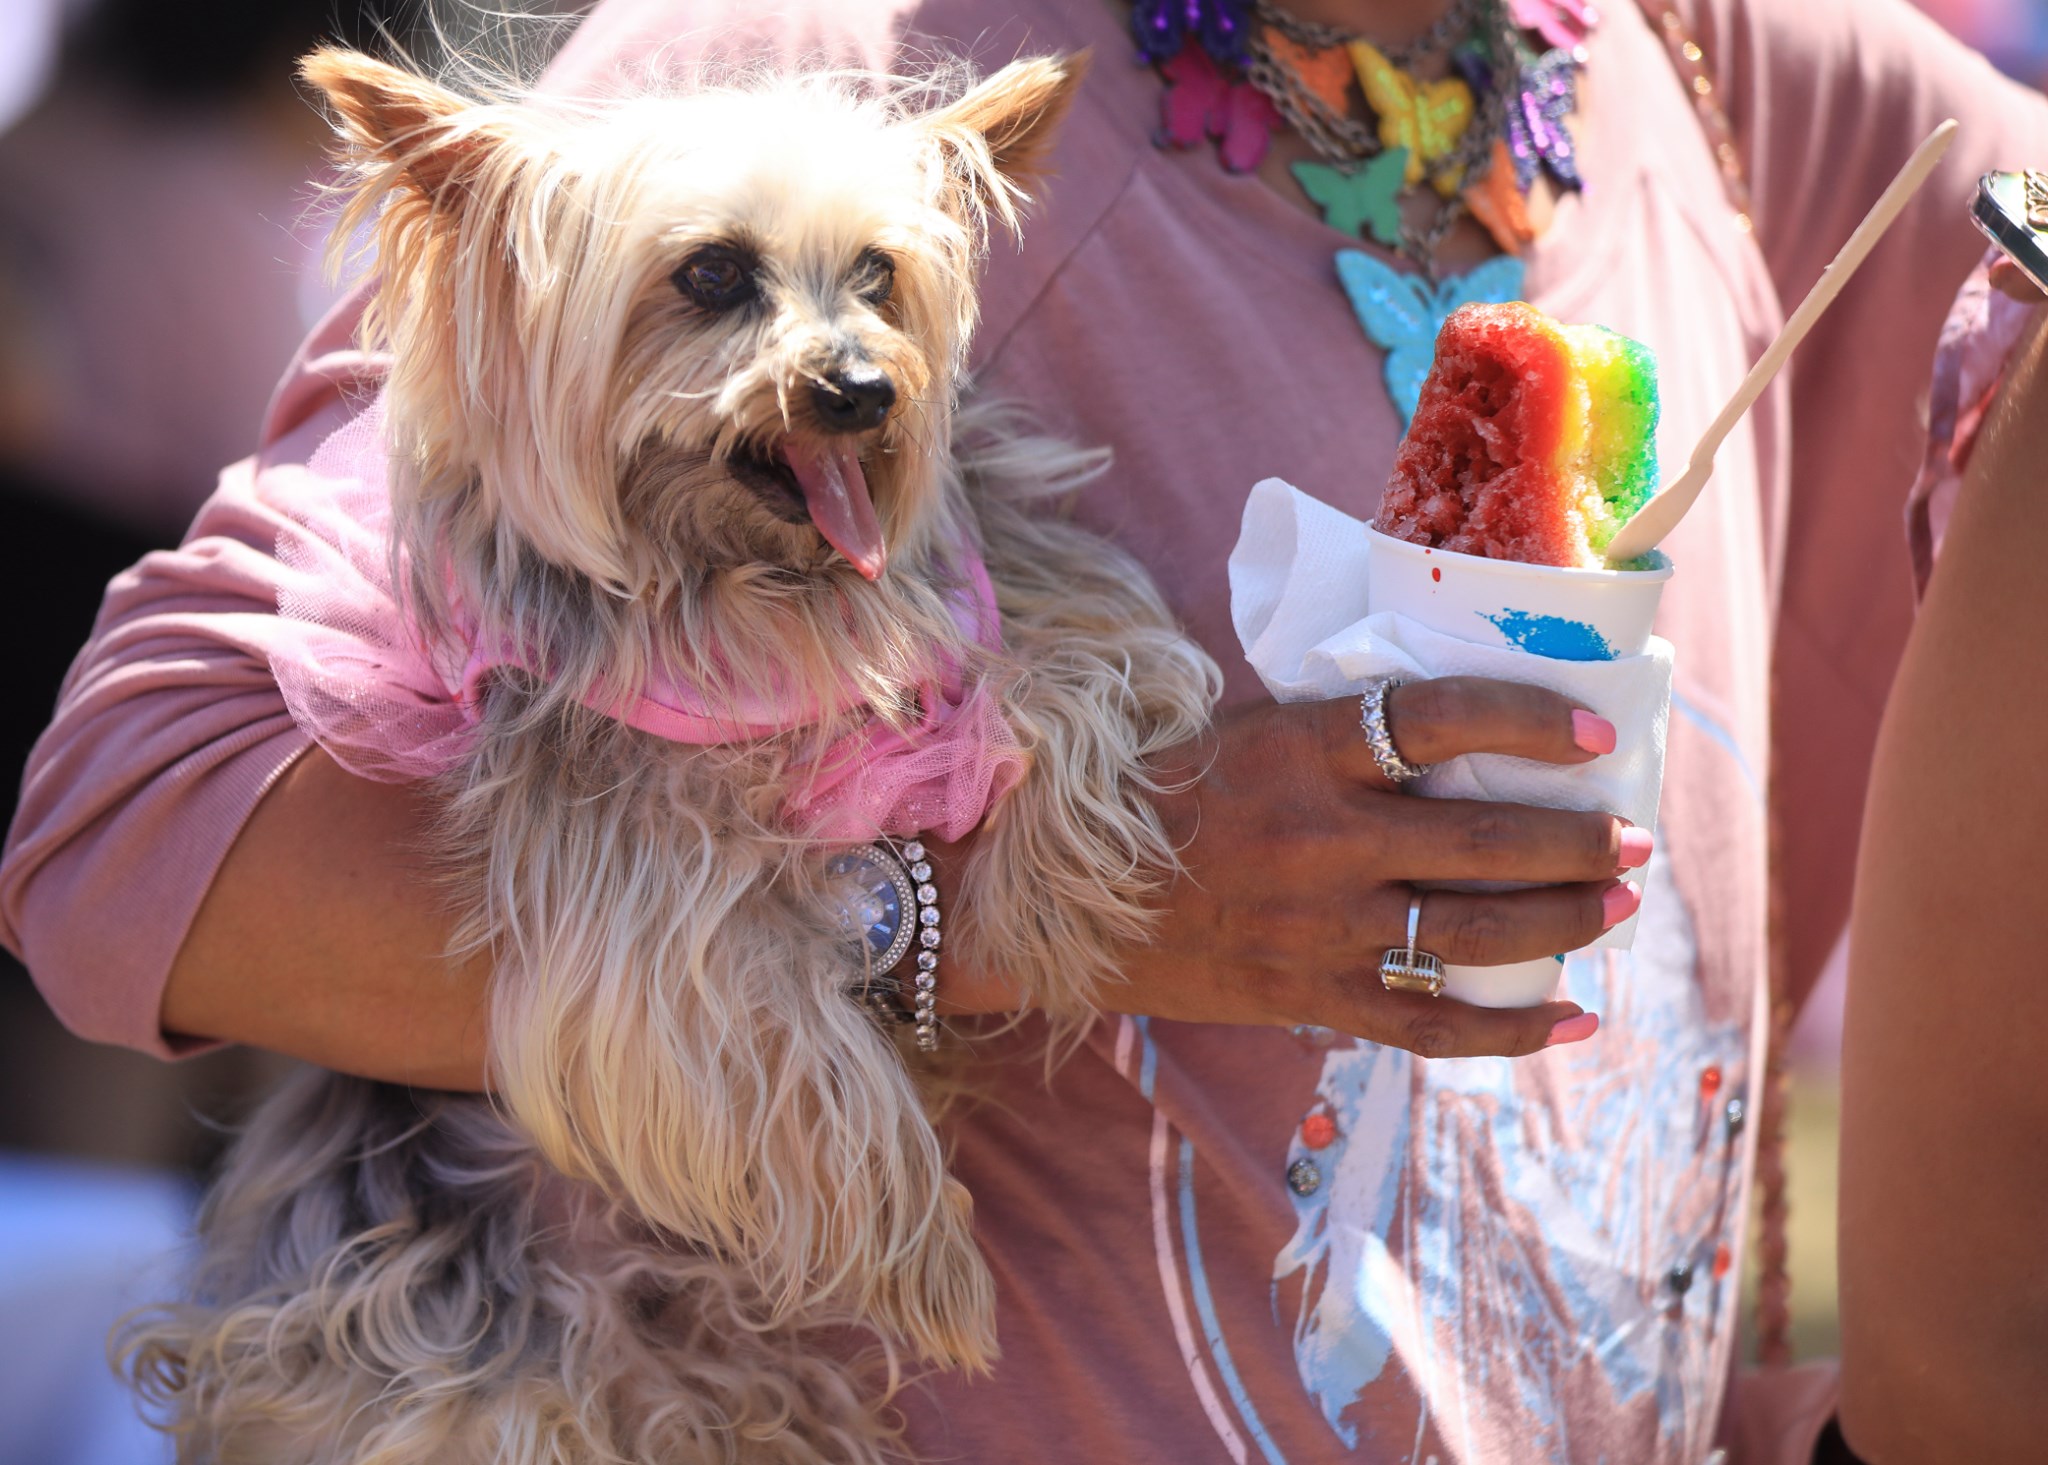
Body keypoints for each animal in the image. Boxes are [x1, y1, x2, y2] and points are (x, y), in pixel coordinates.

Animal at [119, 34, 1212, 1465]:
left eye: (878, 273)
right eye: (710, 274)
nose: (863, 390)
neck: (750, 588)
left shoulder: (1013, 574)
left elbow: (1089, 663)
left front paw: (1052, 877)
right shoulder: (611, 846)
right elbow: (746, 1003)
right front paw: (919, 1255)